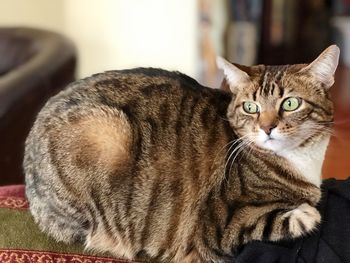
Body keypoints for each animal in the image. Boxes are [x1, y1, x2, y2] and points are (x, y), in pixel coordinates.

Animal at [23, 44, 340, 262]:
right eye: (251, 107)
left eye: (290, 103)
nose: (267, 127)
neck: (303, 162)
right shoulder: (219, 225)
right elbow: (285, 219)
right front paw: (308, 213)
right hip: (106, 131)